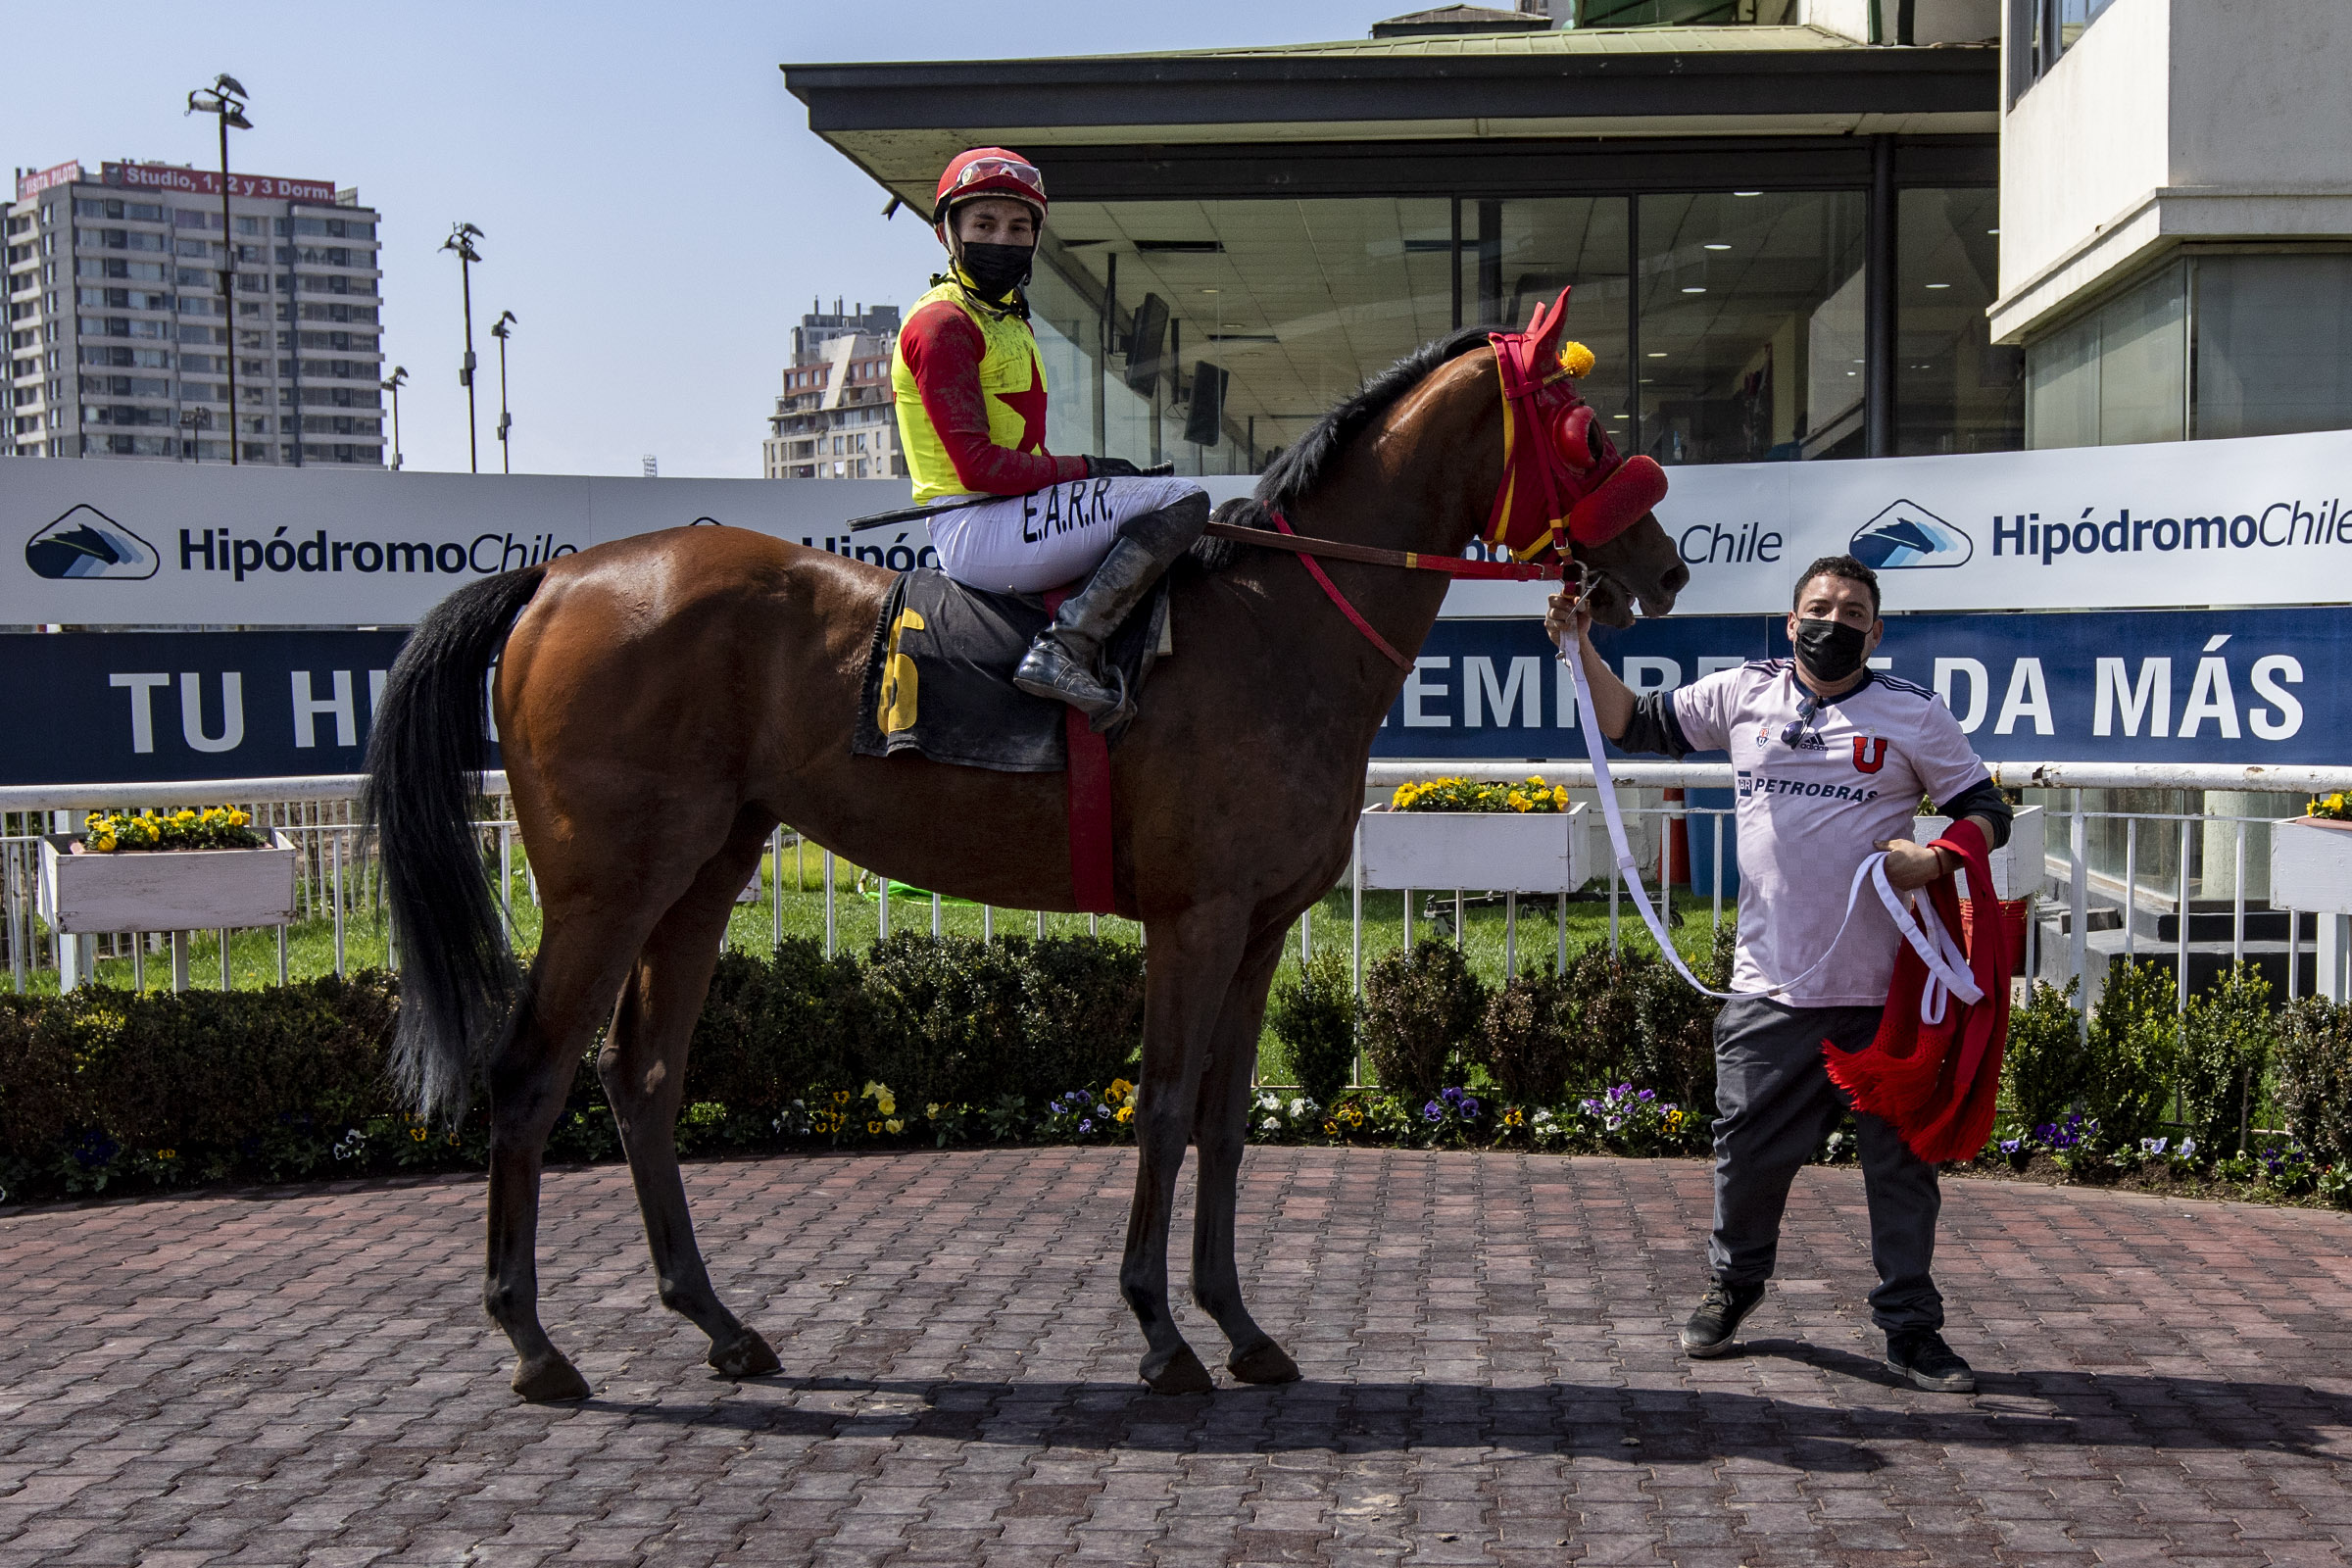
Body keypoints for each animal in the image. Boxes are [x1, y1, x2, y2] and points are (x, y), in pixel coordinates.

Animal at [363, 317, 1689, 1403]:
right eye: (1587, 429)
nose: (1667, 568)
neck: (1280, 629)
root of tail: (559, 577)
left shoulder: (1261, 924)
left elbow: (1226, 1121)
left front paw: (1241, 1327)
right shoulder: (1196, 917)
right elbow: (1165, 1106)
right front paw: (1160, 1332)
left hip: (703, 872)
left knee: (640, 1075)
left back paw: (719, 1324)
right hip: (606, 884)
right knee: (530, 1073)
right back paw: (534, 1343)